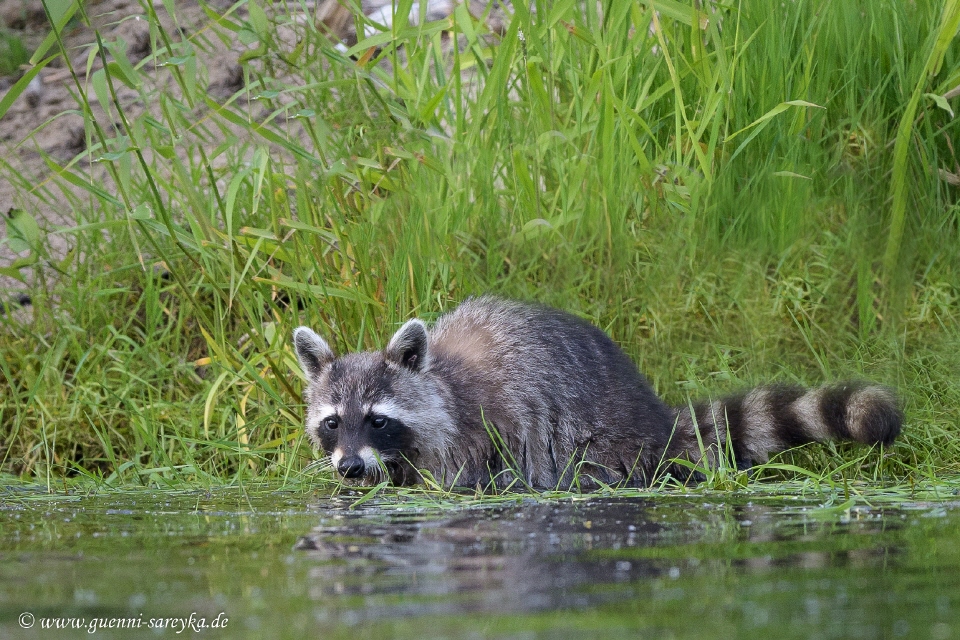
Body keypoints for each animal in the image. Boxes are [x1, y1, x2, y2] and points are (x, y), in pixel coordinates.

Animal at [290, 296, 900, 490]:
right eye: (332, 421)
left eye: (377, 418)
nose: (347, 467)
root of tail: (652, 416)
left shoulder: (475, 435)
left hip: (598, 441)